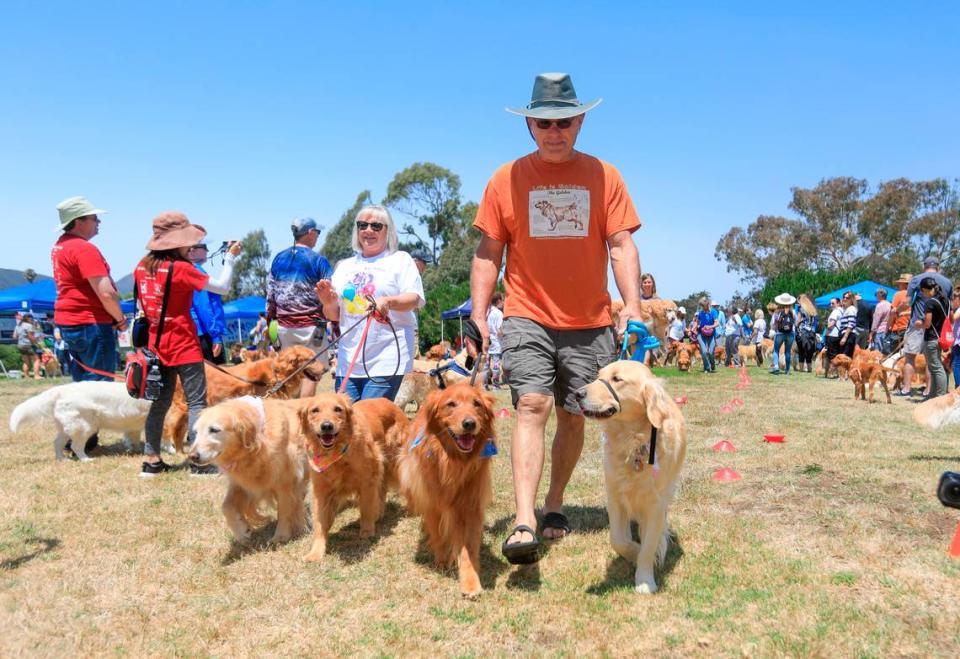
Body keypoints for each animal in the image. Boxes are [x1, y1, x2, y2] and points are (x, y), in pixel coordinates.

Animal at [8, 378, 152, 462]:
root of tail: (62, 389)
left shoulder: (133, 426)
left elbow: (133, 440)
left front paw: (136, 450)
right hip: (84, 427)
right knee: (76, 446)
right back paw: (85, 459)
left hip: (66, 428)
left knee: (57, 443)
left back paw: (62, 459)